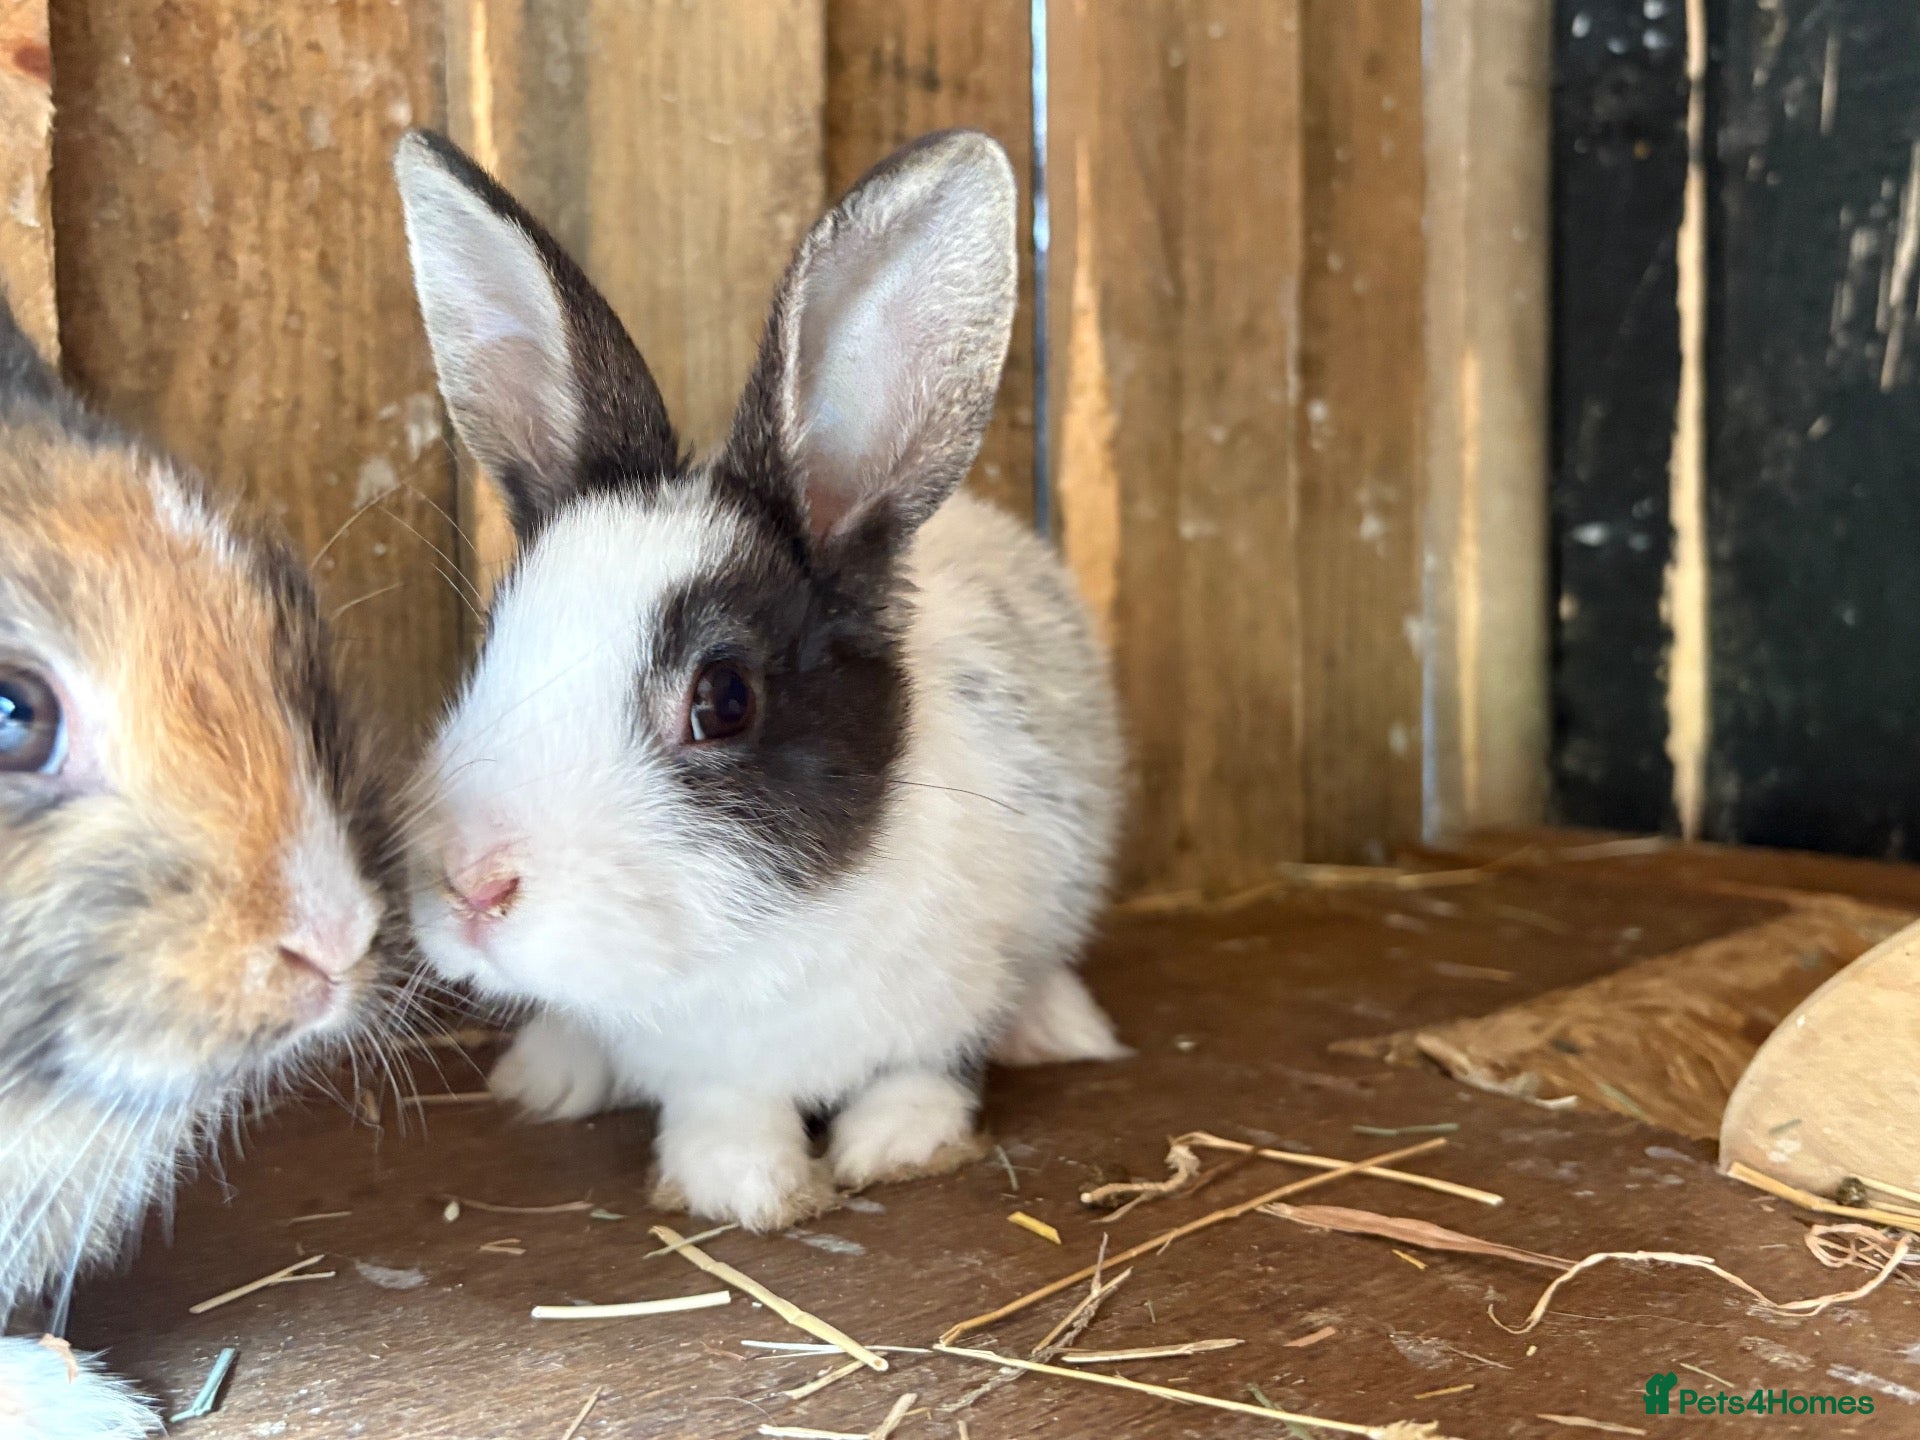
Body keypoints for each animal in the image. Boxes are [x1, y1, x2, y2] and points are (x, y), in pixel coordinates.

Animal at [394, 127, 1128, 1233]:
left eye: (723, 699)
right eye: (491, 643)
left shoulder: (956, 993)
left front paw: (895, 1148)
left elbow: (924, 1071)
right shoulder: (702, 1061)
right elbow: (724, 1107)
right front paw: (742, 1186)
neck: (766, 942)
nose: (475, 885)